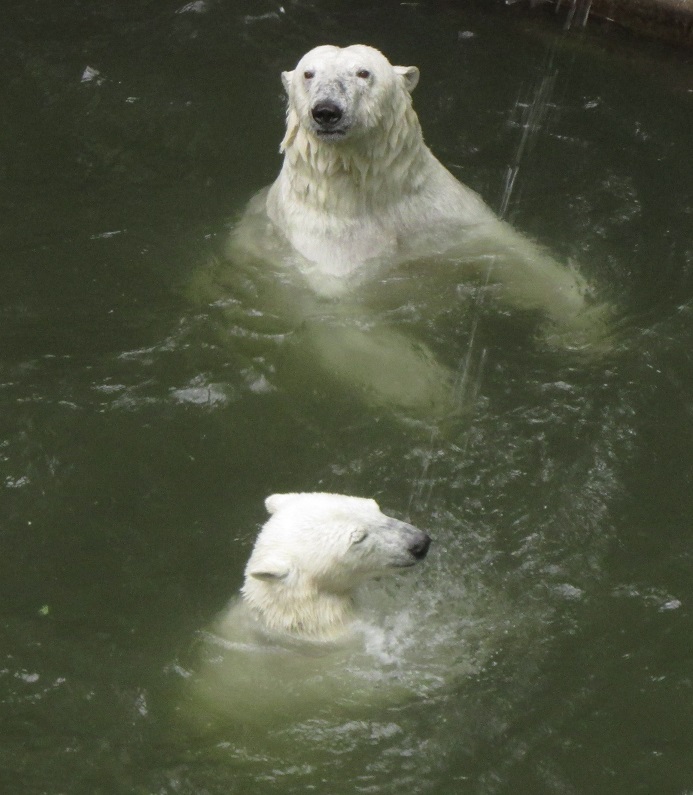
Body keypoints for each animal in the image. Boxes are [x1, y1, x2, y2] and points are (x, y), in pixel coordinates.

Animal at [227, 45, 600, 410]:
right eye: (308, 73)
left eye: (363, 72)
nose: (326, 111)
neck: (366, 195)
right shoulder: (324, 250)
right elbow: (343, 318)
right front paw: (443, 393)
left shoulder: (437, 211)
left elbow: (506, 249)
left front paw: (582, 325)